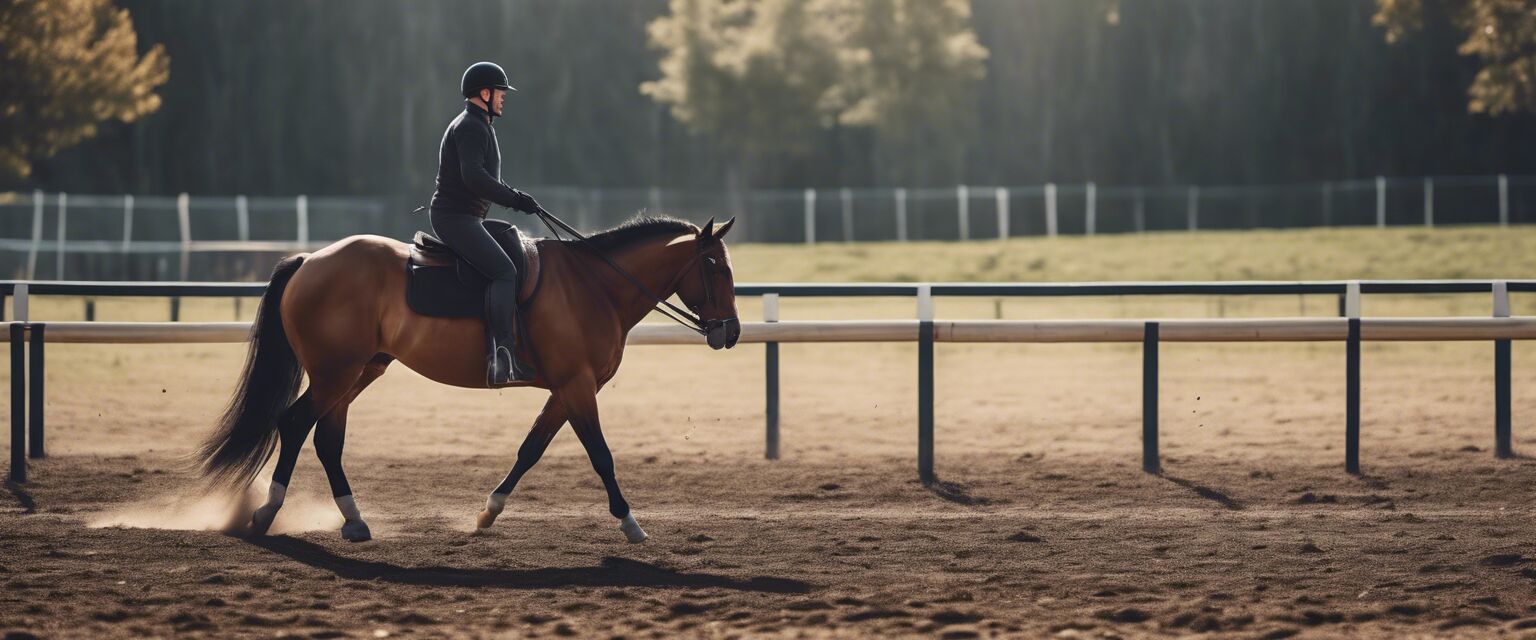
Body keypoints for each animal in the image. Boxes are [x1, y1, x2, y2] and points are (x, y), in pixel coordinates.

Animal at [195, 213, 740, 540]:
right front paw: (630, 522)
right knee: (294, 424)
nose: (730, 332)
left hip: (358, 372)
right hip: (335, 372)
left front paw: (489, 511)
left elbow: (530, 449)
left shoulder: (565, 390)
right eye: (716, 267)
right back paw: (267, 513)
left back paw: (353, 519)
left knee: (326, 437)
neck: (595, 286)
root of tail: (311, 259)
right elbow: (601, 455)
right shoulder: (579, 386)